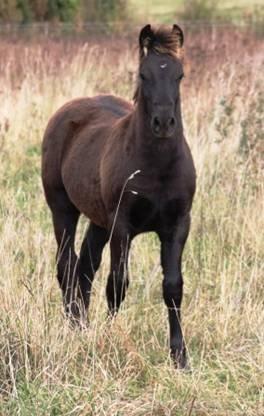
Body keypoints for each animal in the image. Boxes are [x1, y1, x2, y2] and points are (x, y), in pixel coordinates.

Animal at [41, 24, 196, 368]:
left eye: (179, 75)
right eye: (143, 74)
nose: (163, 123)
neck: (157, 167)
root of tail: (65, 112)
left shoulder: (178, 225)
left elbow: (173, 286)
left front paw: (180, 356)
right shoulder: (122, 226)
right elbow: (118, 283)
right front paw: (113, 338)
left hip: (99, 221)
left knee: (86, 266)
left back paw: (83, 324)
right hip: (63, 209)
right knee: (67, 263)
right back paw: (73, 324)